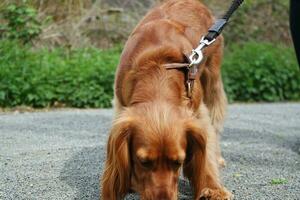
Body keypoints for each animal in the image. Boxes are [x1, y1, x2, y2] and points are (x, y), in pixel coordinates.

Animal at [101, 0, 230, 199]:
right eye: (143, 162)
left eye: (178, 162)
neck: (159, 69)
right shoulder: (121, 105)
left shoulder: (197, 111)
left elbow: (206, 151)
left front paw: (212, 188)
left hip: (212, 77)